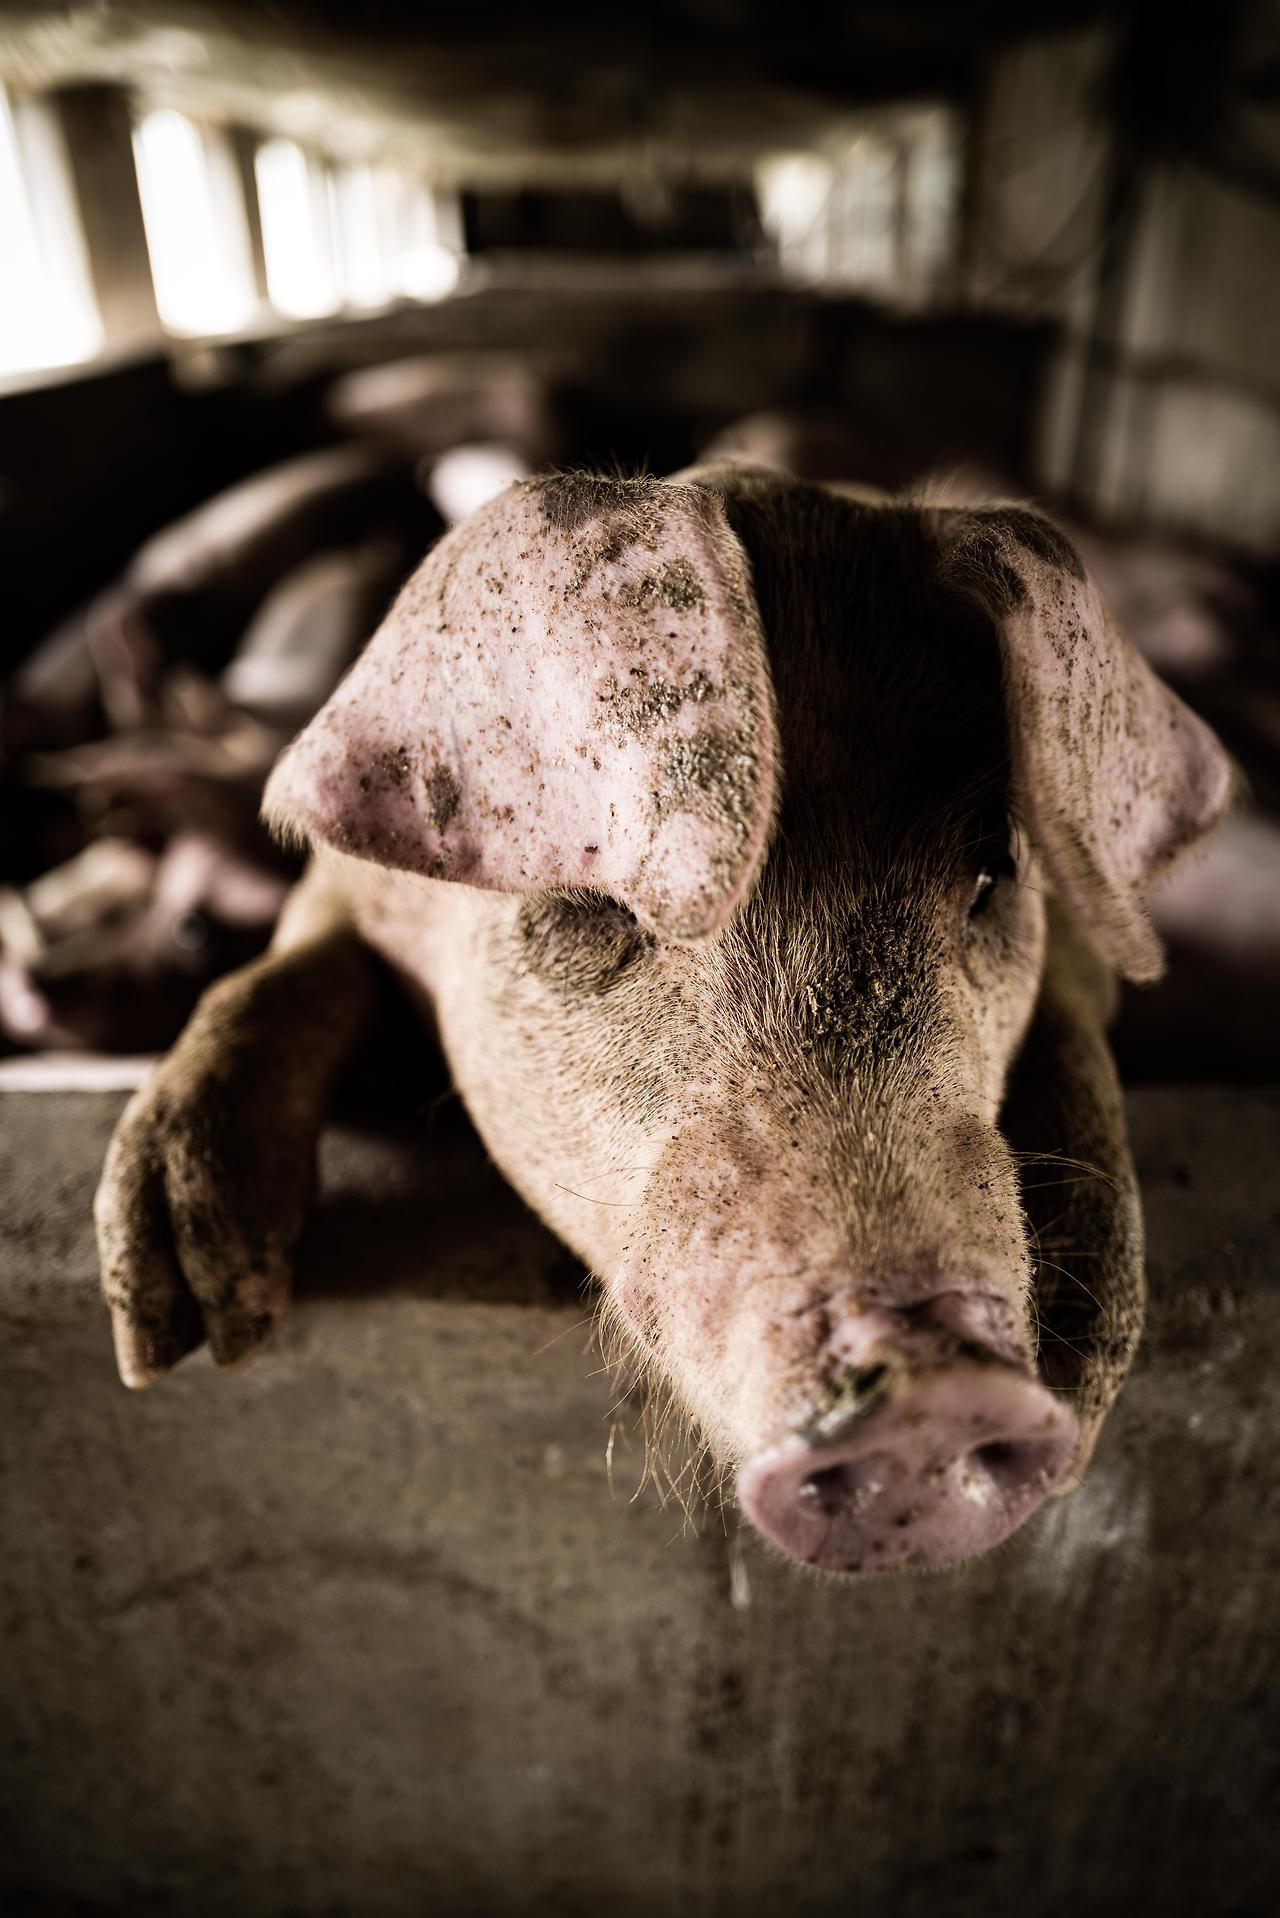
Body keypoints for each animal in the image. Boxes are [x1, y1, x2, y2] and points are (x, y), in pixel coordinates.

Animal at [94, 465, 1231, 1573]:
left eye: (991, 874)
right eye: (595, 905)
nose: (935, 1388)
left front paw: (1085, 1350)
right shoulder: (337, 893)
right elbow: (281, 976)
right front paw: (176, 1330)